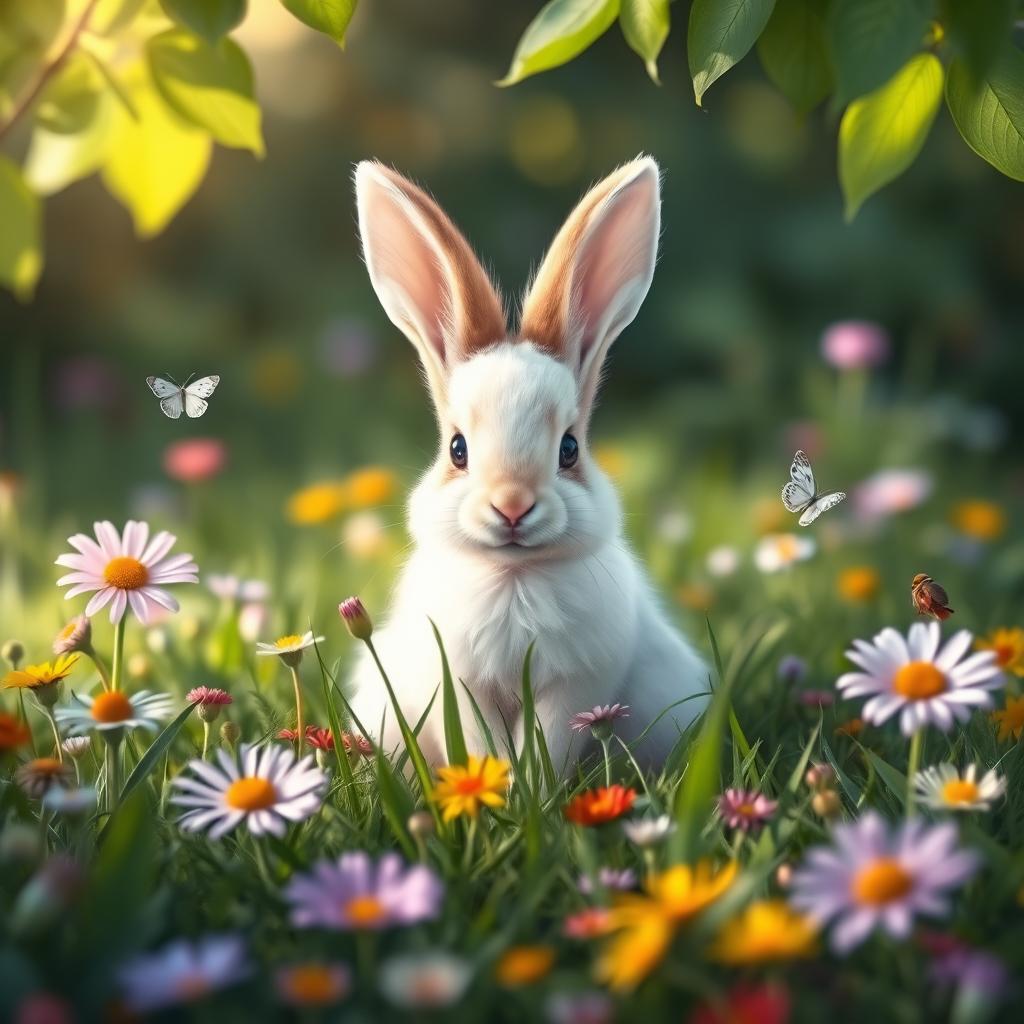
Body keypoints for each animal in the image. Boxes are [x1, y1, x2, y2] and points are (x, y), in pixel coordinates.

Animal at [348, 155, 708, 770]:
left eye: (569, 449)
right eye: (457, 449)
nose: (512, 505)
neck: (513, 576)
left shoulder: (576, 688)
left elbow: (549, 744)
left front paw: (533, 787)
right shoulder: (463, 684)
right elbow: (482, 744)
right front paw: (499, 782)